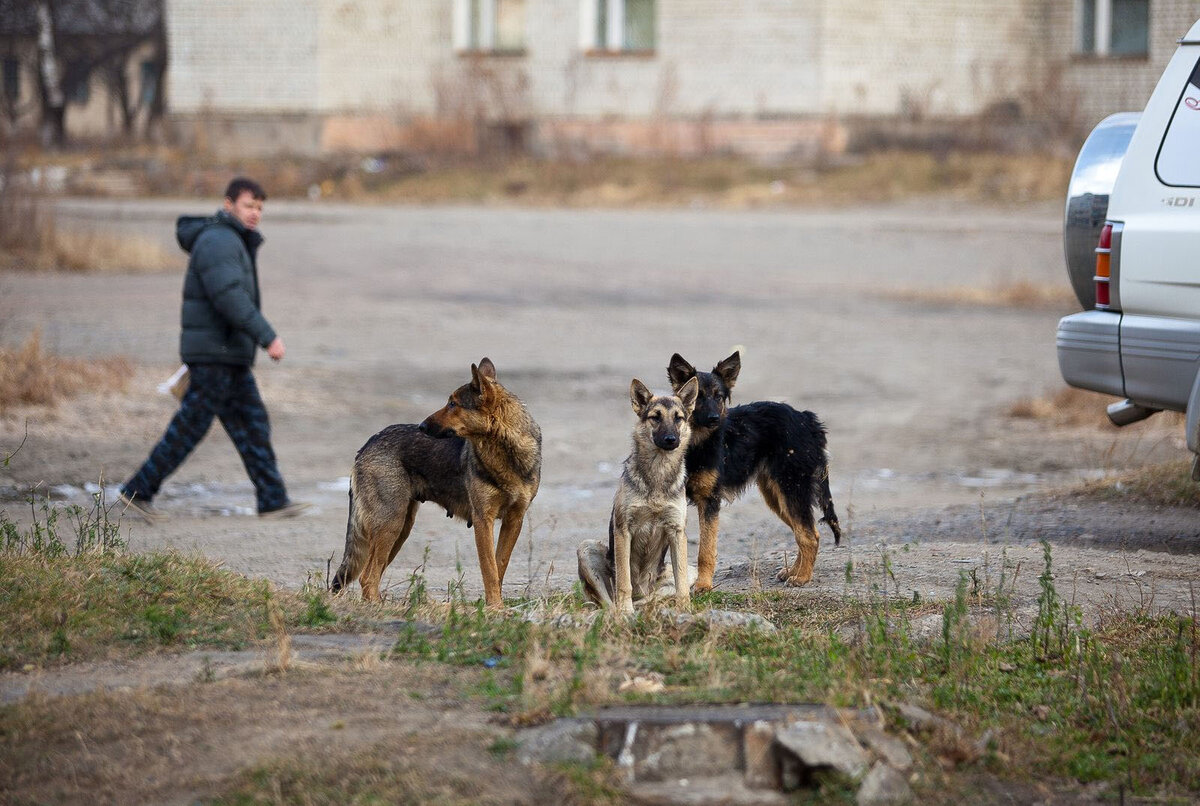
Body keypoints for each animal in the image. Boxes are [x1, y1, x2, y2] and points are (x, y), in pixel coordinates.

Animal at [331, 355, 542, 606]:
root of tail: (367, 444)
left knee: (371, 575)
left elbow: (499, 566)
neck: (505, 452)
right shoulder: (483, 520)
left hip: (400, 529)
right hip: (391, 525)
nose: (422, 426)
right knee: (367, 577)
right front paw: (495, 608)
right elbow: (489, 570)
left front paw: (494, 605)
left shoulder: (514, 520)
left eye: (452, 404)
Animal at [576, 374, 700, 614]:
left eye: (678, 418)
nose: (671, 439)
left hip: (691, 570)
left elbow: (681, 583)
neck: (658, 474)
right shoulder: (623, 530)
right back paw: (620, 610)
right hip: (586, 547)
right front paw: (625, 612)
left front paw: (685, 609)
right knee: (609, 601)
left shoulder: (677, 532)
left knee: (656, 596)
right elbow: (624, 581)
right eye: (655, 417)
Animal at [667, 350, 844, 592]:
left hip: (792, 490)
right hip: (777, 497)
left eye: (719, 397)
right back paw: (794, 571)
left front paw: (703, 585)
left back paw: (802, 577)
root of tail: (807, 419)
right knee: (806, 532)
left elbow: (706, 550)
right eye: (698, 396)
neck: (695, 444)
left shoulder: (709, 502)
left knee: (808, 535)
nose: (714, 419)